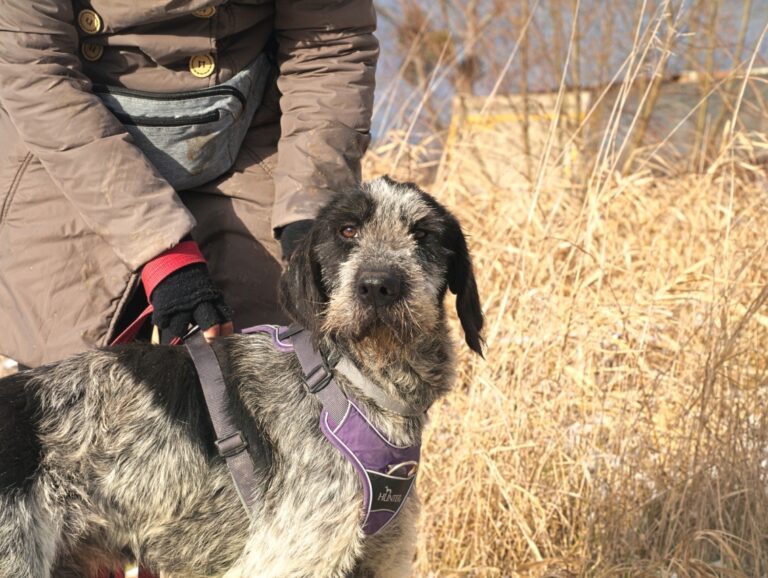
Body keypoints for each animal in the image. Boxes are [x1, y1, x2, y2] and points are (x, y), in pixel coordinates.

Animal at [0, 176, 480, 576]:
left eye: (424, 235)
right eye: (347, 232)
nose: (379, 286)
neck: (355, 381)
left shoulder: (382, 556)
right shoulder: (287, 558)